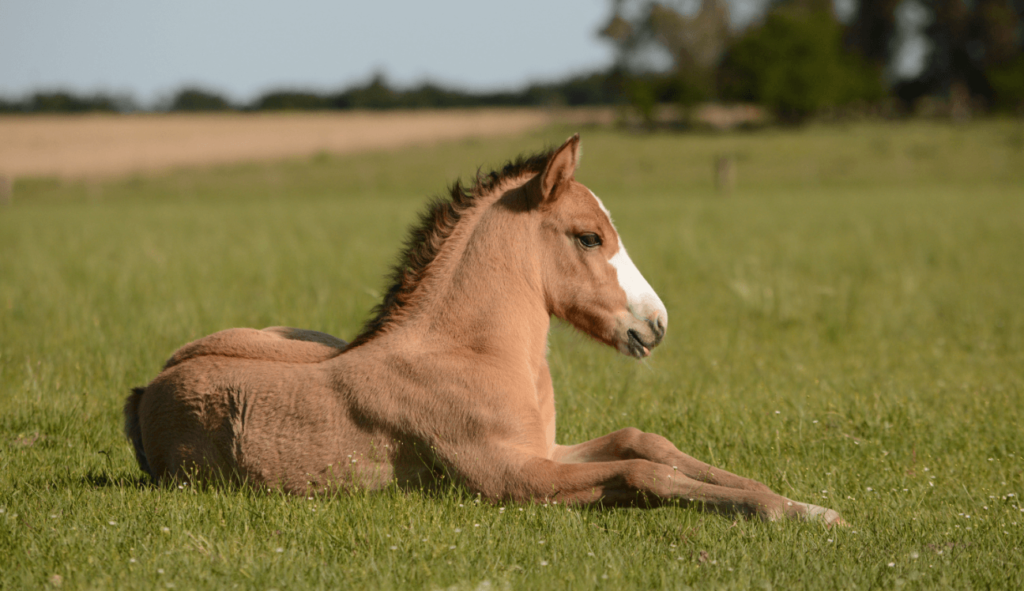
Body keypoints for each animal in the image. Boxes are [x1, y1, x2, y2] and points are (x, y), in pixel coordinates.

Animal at [125, 135, 847, 524]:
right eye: (589, 236)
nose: (656, 323)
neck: (472, 354)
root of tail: (146, 388)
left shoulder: (545, 449)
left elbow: (646, 442)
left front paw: (799, 503)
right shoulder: (511, 477)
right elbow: (645, 473)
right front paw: (795, 513)